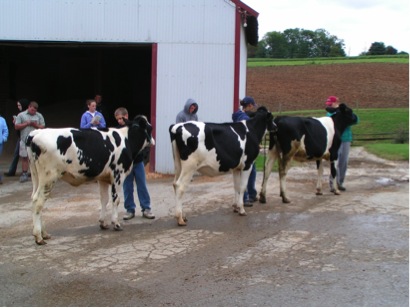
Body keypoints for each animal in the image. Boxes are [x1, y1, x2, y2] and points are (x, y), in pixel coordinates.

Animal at [26, 115, 154, 245]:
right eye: (151, 127)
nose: (153, 141)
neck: (126, 139)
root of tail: (35, 133)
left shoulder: (103, 178)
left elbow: (104, 199)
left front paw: (103, 223)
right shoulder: (118, 175)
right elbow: (116, 200)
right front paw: (116, 223)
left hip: (36, 176)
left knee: (34, 199)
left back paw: (44, 234)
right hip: (49, 177)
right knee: (38, 201)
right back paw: (39, 237)